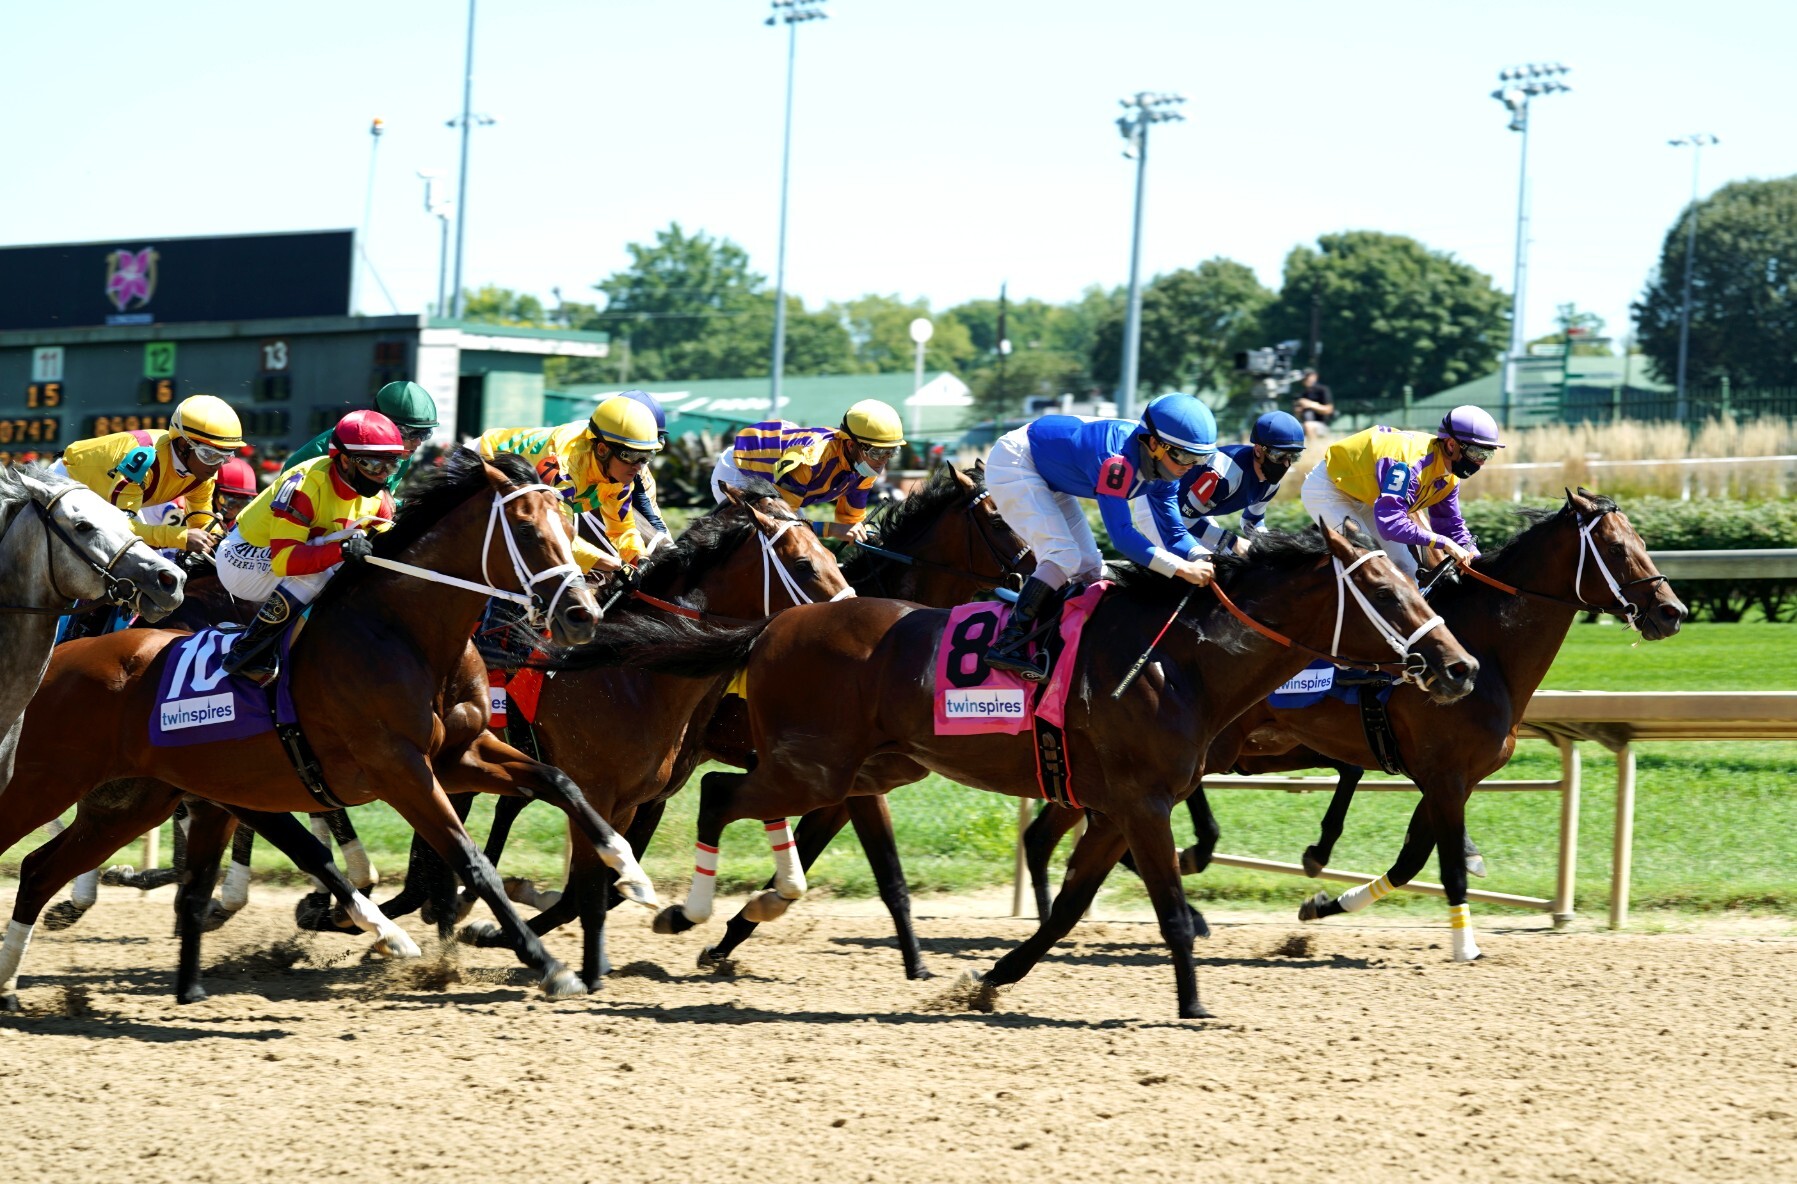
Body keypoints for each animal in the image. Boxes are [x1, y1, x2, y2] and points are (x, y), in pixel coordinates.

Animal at [0, 449, 657, 1006]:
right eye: (525, 530)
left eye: (569, 528)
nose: (581, 616)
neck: (404, 633)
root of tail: (57, 660)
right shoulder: (402, 770)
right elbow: (471, 860)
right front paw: (549, 964)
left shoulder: (462, 754)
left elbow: (559, 781)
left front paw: (628, 868)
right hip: (46, 783)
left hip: (131, 801)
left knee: (39, 870)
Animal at [553, 517, 1480, 1020]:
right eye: (1386, 593)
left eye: (1416, 584)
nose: (1458, 665)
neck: (1178, 661)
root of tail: (774, 626)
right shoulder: (1144, 804)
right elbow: (1169, 916)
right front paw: (1192, 1002)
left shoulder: (1114, 811)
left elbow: (1067, 910)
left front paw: (991, 977)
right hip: (811, 766)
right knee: (715, 796)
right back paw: (685, 910)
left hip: (856, 768)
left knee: (732, 804)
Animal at [1027, 485, 1681, 955]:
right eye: (1619, 549)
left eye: (1643, 540)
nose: (1671, 612)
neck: (1486, 650)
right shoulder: (1444, 775)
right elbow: (1444, 865)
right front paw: (1465, 944)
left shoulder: (1452, 778)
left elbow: (1412, 859)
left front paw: (1323, 905)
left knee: (1052, 831)